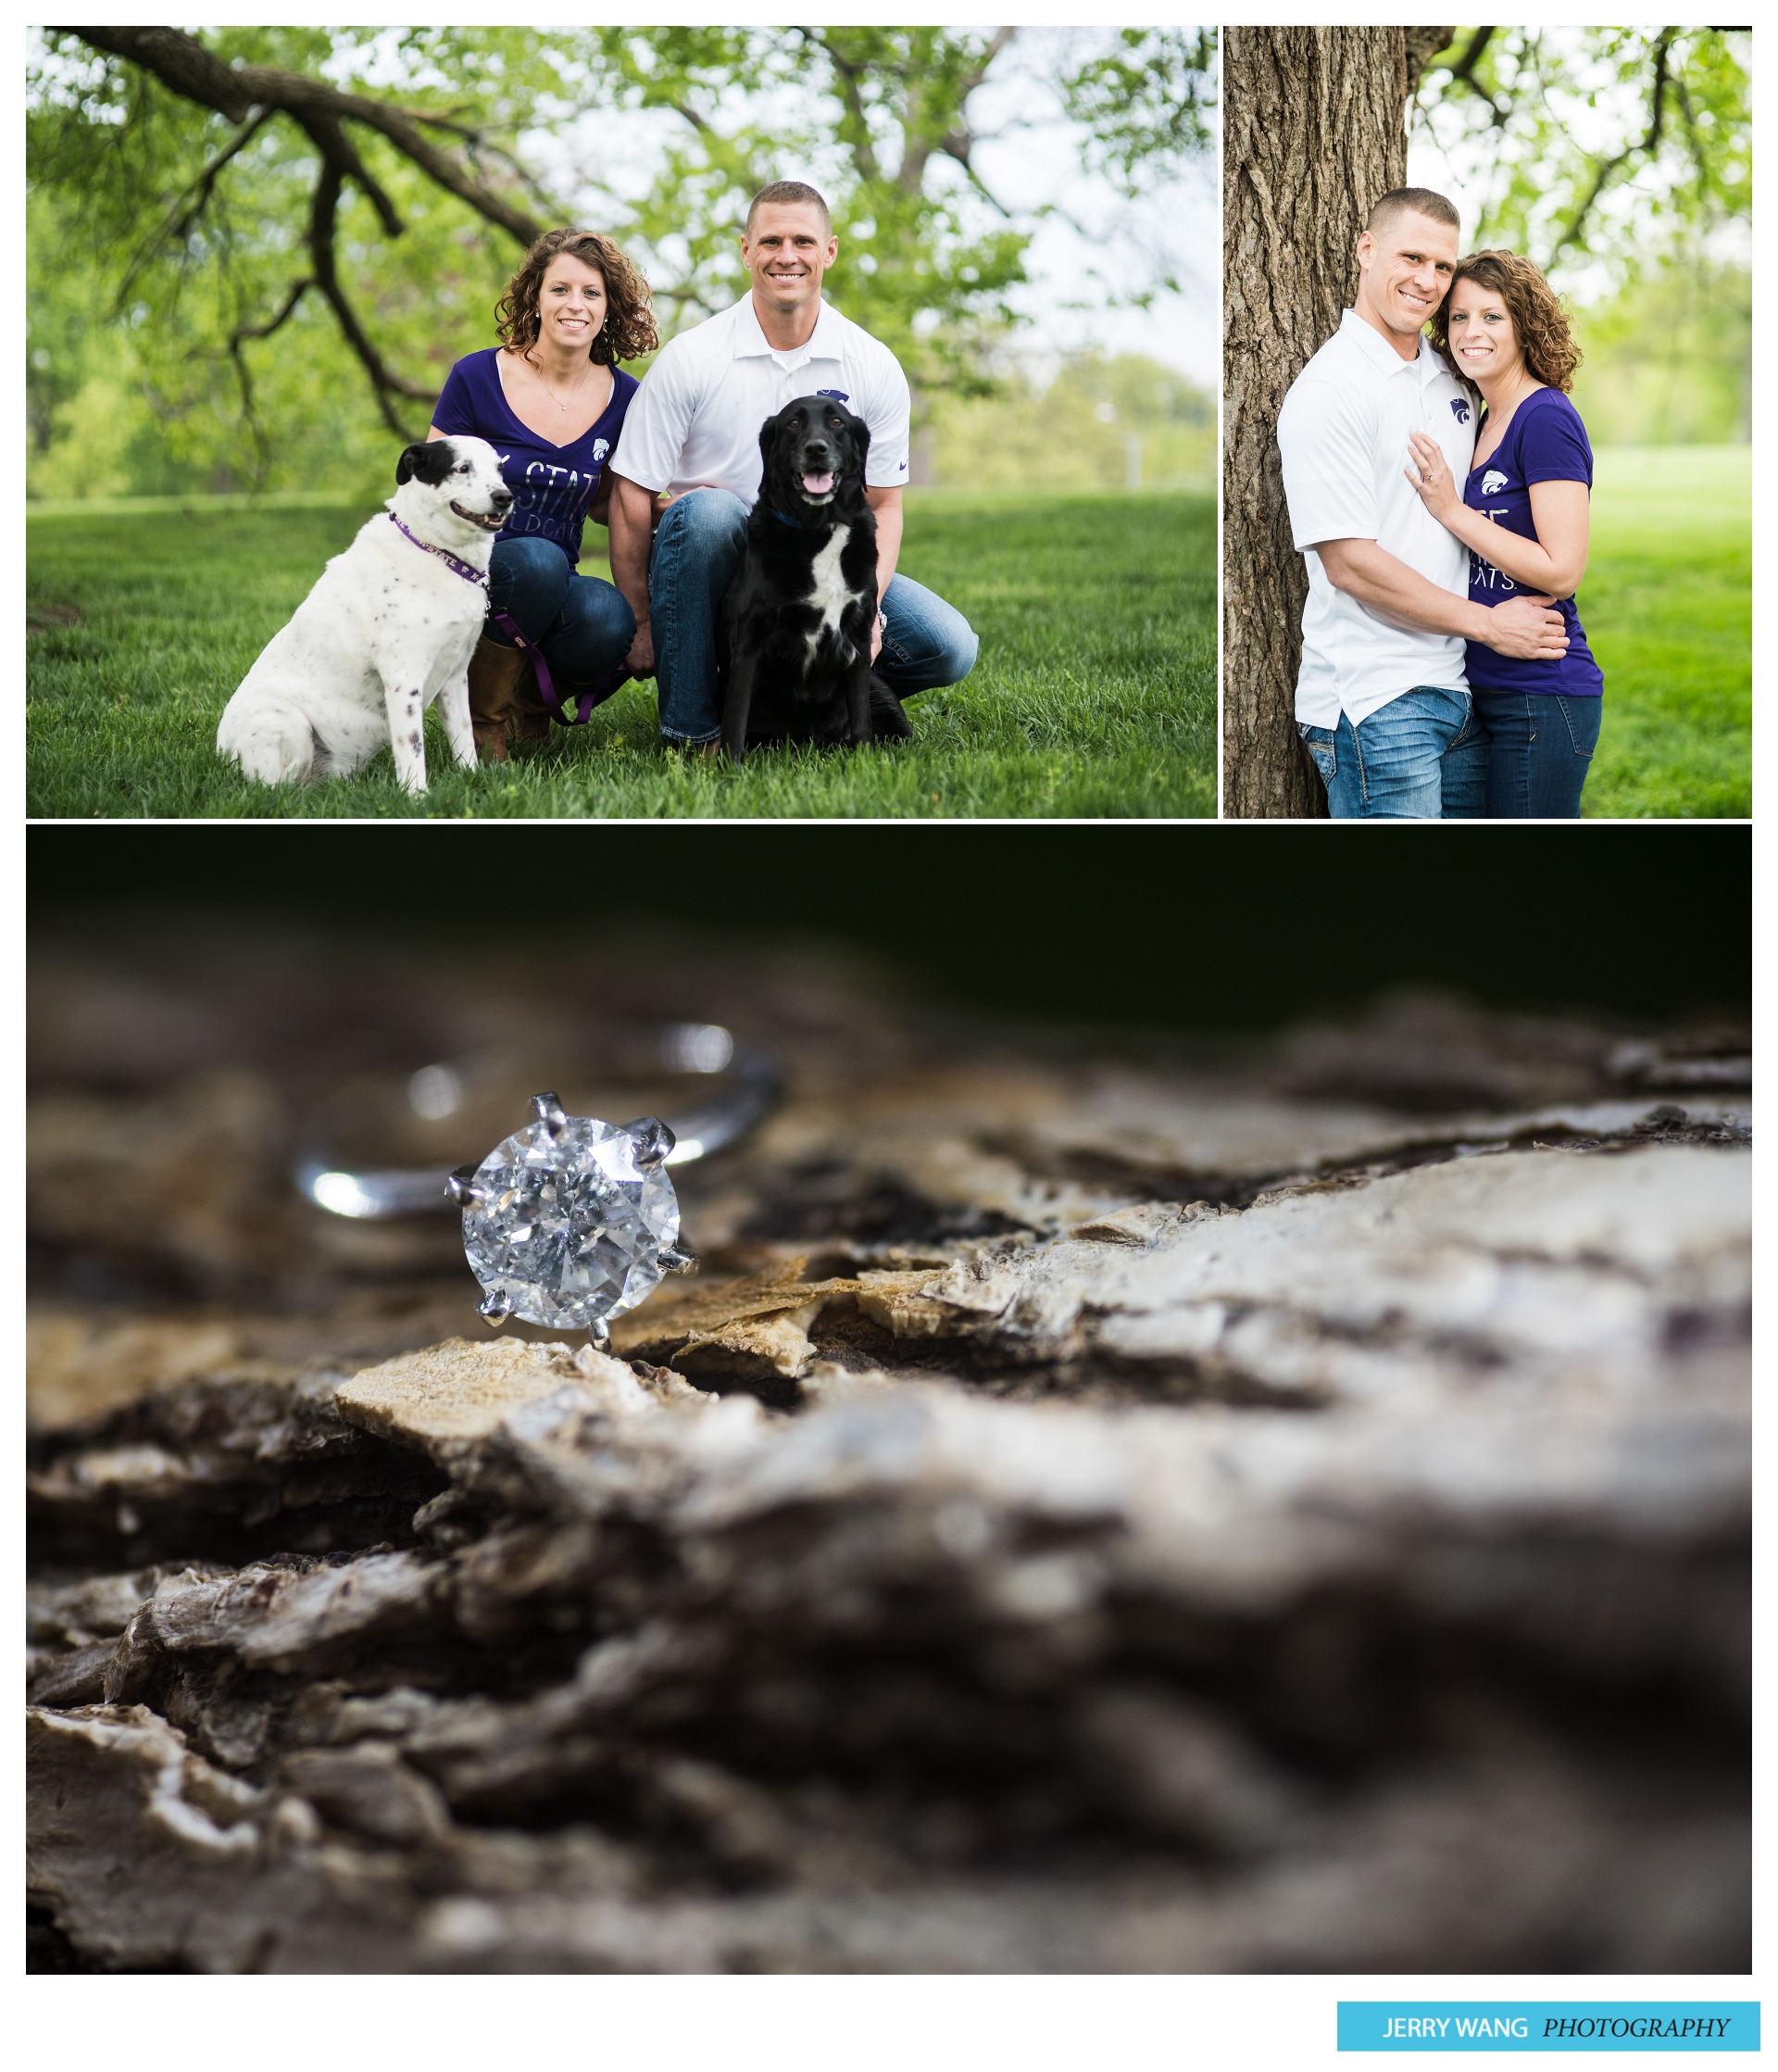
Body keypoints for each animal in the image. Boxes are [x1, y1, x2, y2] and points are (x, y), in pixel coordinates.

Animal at [214, 437, 509, 791]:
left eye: (500, 468)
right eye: (462, 468)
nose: (505, 497)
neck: (435, 552)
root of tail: (221, 755)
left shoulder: (455, 676)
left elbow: (464, 739)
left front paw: (473, 780)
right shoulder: (403, 679)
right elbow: (412, 751)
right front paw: (418, 796)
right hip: (288, 722)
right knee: (278, 788)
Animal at [708, 391, 908, 758]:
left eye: (837, 421)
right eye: (794, 423)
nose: (816, 449)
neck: (818, 530)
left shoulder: (860, 637)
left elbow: (861, 717)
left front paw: (865, 761)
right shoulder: (749, 642)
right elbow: (736, 720)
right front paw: (731, 767)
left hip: (884, 693)